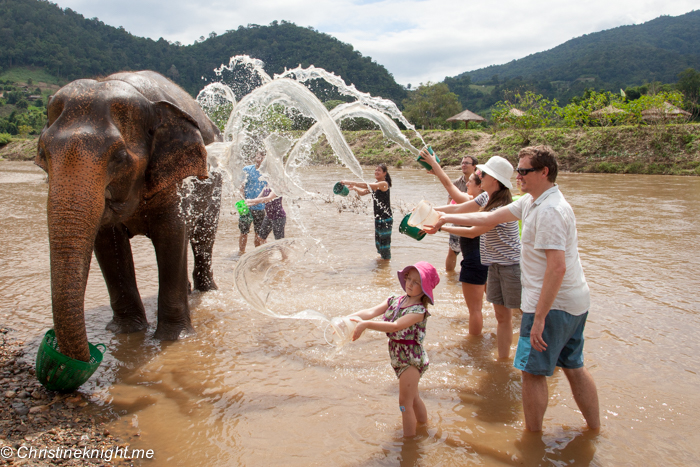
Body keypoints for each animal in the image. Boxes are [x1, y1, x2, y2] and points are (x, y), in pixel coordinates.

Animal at [35, 69, 223, 364]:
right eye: (42, 154)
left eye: (119, 157)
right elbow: (107, 244)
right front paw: (126, 332)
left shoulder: (173, 180)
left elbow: (172, 235)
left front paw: (174, 338)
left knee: (203, 238)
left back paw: (207, 292)